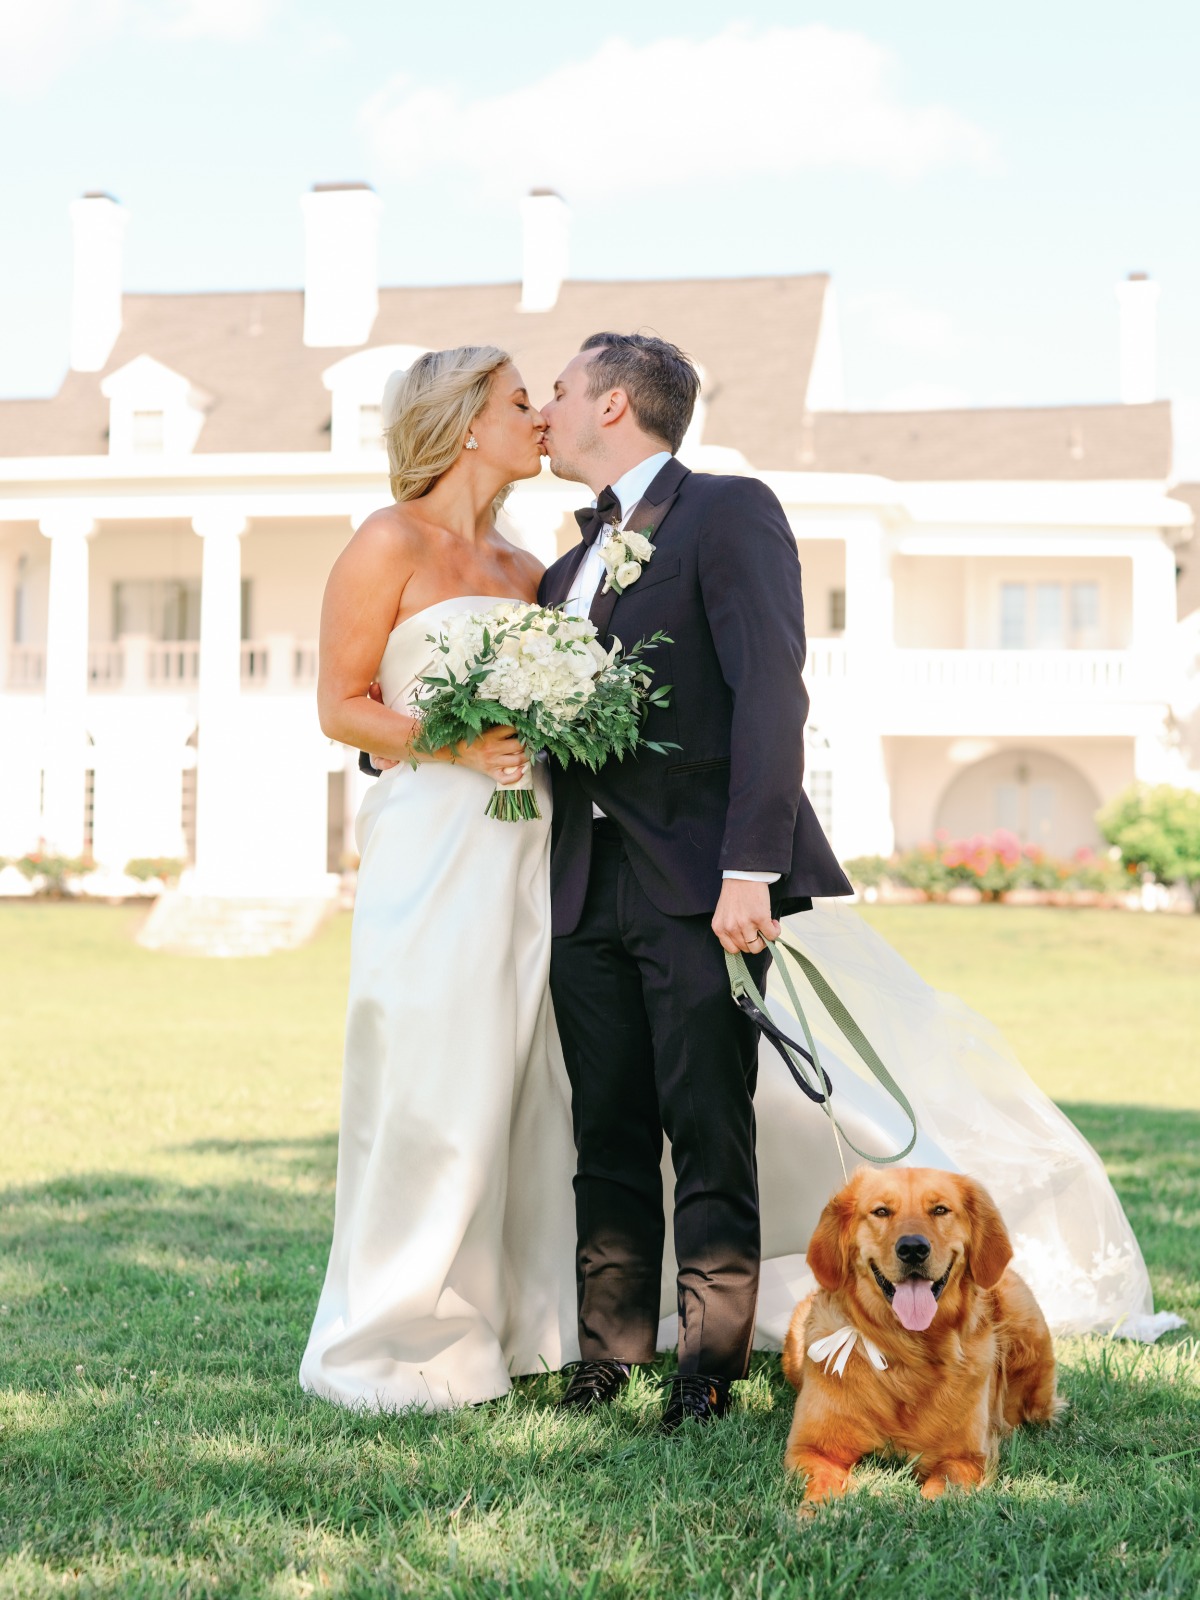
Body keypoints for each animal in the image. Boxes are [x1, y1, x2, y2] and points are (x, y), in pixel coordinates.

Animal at [780, 1164, 1062, 1497]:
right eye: (881, 1211)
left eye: (940, 1209)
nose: (913, 1248)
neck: (908, 1351)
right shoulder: (812, 1447)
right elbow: (822, 1485)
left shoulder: (966, 1457)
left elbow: (937, 1493)